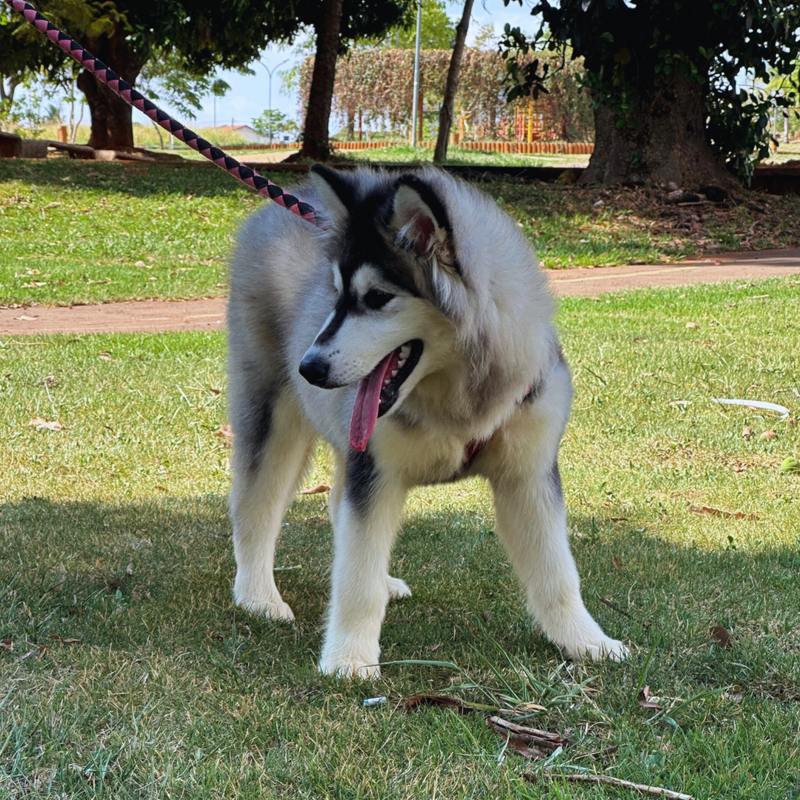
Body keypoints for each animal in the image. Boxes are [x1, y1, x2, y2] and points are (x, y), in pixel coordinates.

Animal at [227, 166, 632, 680]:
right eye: (335, 295)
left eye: (377, 298)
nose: (309, 368)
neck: (461, 401)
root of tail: (283, 202)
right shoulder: (376, 472)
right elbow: (356, 580)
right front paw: (350, 660)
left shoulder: (529, 476)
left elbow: (558, 573)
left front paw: (586, 641)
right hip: (272, 417)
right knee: (254, 505)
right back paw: (257, 596)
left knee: (336, 503)